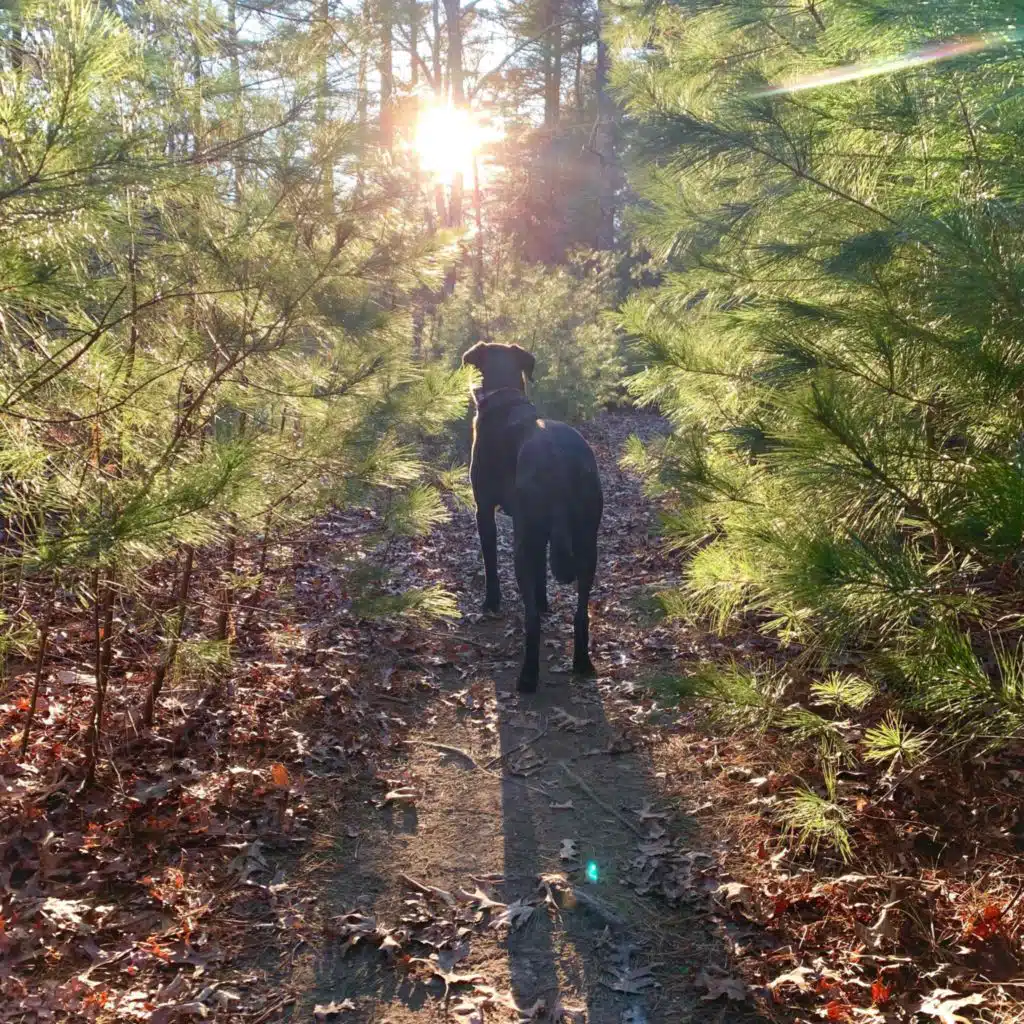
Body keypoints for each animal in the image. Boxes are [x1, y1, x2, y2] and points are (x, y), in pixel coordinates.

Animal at [462, 342, 603, 692]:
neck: (505, 396)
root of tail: (560, 461)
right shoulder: (535, 530)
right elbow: (542, 572)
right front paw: (543, 599)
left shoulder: (484, 509)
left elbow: (490, 560)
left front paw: (491, 601)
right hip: (586, 542)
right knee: (581, 612)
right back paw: (582, 663)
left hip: (523, 546)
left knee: (532, 622)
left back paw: (527, 676)